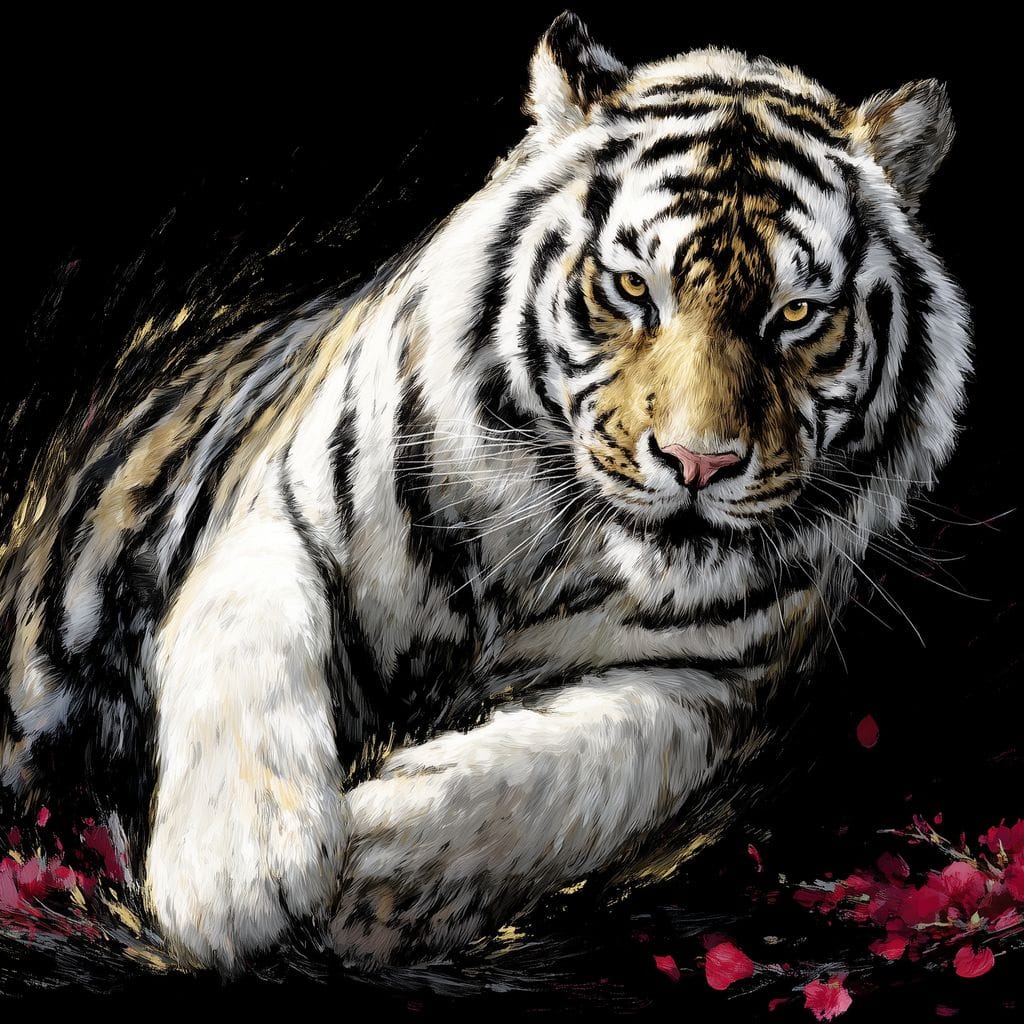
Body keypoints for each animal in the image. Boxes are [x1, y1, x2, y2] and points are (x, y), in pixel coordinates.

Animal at [1, 12, 970, 972]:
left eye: (797, 314)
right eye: (632, 288)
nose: (698, 463)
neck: (548, 553)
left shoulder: (725, 687)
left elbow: (588, 765)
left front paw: (375, 878)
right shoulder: (278, 518)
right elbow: (248, 646)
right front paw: (237, 875)